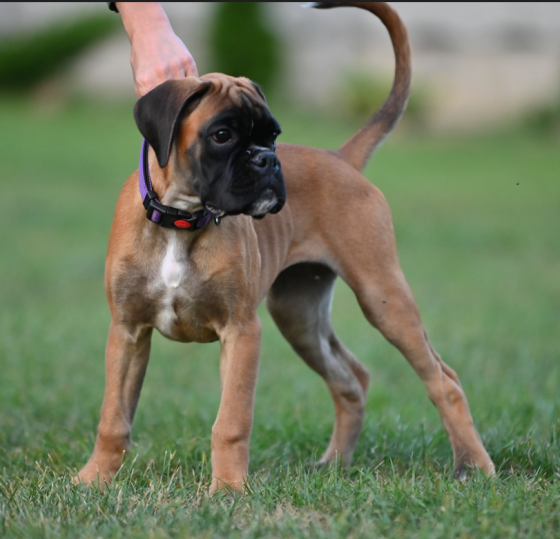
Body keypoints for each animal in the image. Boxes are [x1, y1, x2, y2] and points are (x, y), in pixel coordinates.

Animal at [75, 2, 494, 496]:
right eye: (222, 135)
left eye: (272, 135)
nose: (268, 160)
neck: (181, 218)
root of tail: (340, 157)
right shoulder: (127, 331)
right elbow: (113, 417)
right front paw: (93, 479)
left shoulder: (241, 332)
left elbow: (231, 421)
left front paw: (228, 490)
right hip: (299, 314)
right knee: (352, 379)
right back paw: (334, 464)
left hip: (383, 298)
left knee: (443, 380)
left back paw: (474, 465)